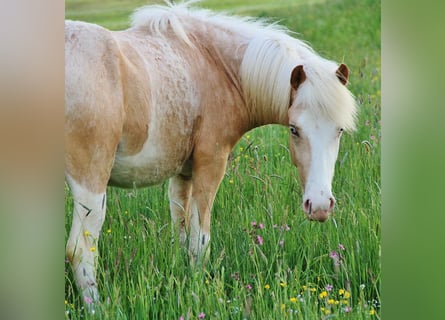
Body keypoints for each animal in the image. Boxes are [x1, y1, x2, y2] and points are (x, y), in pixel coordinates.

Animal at [65, 0, 358, 310]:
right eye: (294, 129)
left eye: (339, 130)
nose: (320, 206)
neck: (215, 64)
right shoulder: (210, 165)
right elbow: (200, 240)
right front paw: (199, 287)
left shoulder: (183, 175)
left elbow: (181, 231)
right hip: (91, 183)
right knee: (79, 250)